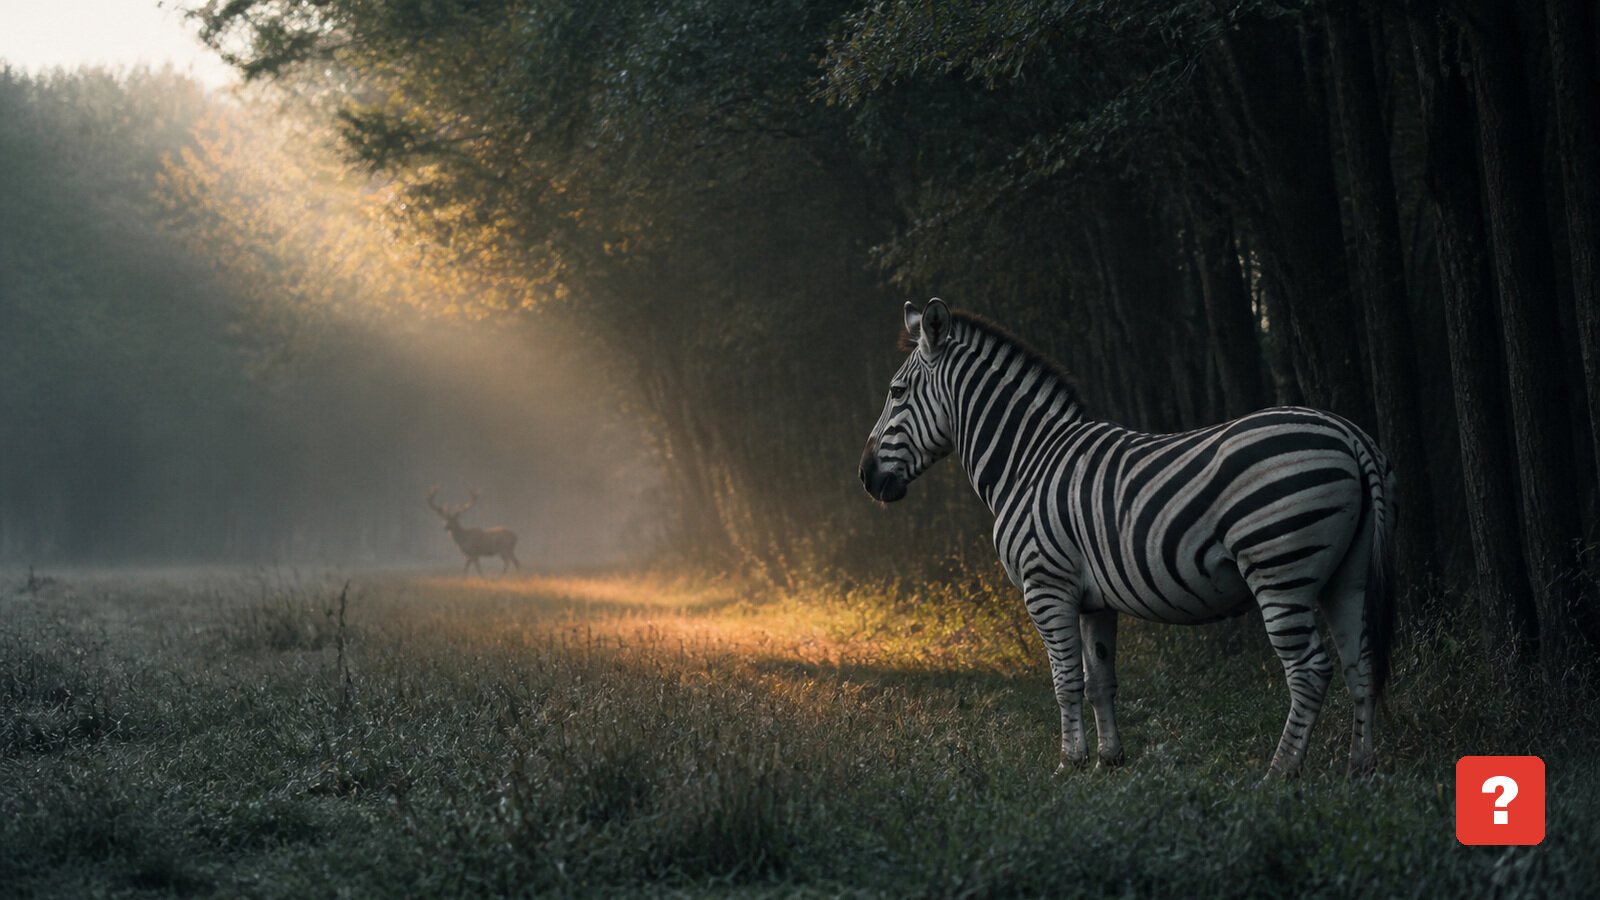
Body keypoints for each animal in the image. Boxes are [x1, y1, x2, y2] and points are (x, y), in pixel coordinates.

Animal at [858, 299, 1396, 779]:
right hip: (1345, 575)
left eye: (896, 391)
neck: (1028, 461)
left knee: (1309, 670)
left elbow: (1065, 681)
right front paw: (1109, 760)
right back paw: (1361, 768)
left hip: (1280, 567)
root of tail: (1350, 435)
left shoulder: (1046, 586)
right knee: (1361, 664)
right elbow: (1100, 680)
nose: (865, 477)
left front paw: (1069, 764)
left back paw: (1280, 772)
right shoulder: (1093, 601)